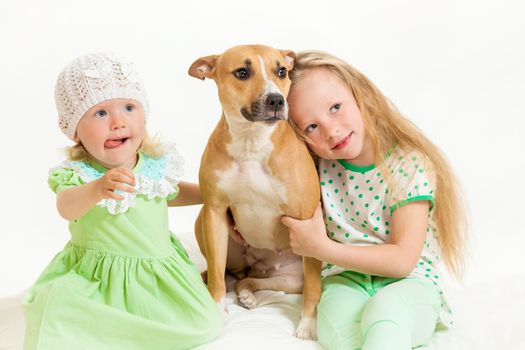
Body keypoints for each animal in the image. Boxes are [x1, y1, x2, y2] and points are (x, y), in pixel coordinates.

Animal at [188, 44, 320, 340]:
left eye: (281, 71)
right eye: (242, 72)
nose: (276, 100)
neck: (252, 142)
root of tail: (260, 263)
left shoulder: (307, 222)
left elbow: (314, 288)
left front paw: (307, 326)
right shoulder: (215, 211)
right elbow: (216, 276)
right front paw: (217, 311)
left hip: (292, 277)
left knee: (262, 281)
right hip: (205, 223)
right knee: (232, 275)